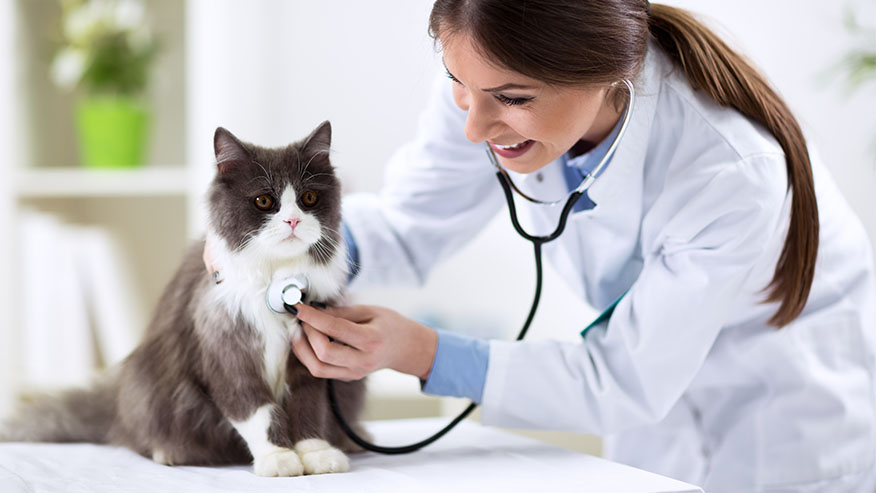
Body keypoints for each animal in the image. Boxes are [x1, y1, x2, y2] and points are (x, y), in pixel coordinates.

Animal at [0, 121, 368, 474]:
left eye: (309, 198)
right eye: (264, 201)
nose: (292, 220)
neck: (277, 280)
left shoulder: (310, 361)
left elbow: (309, 407)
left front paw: (317, 453)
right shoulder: (228, 354)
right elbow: (256, 410)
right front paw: (277, 457)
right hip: (149, 387)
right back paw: (168, 452)